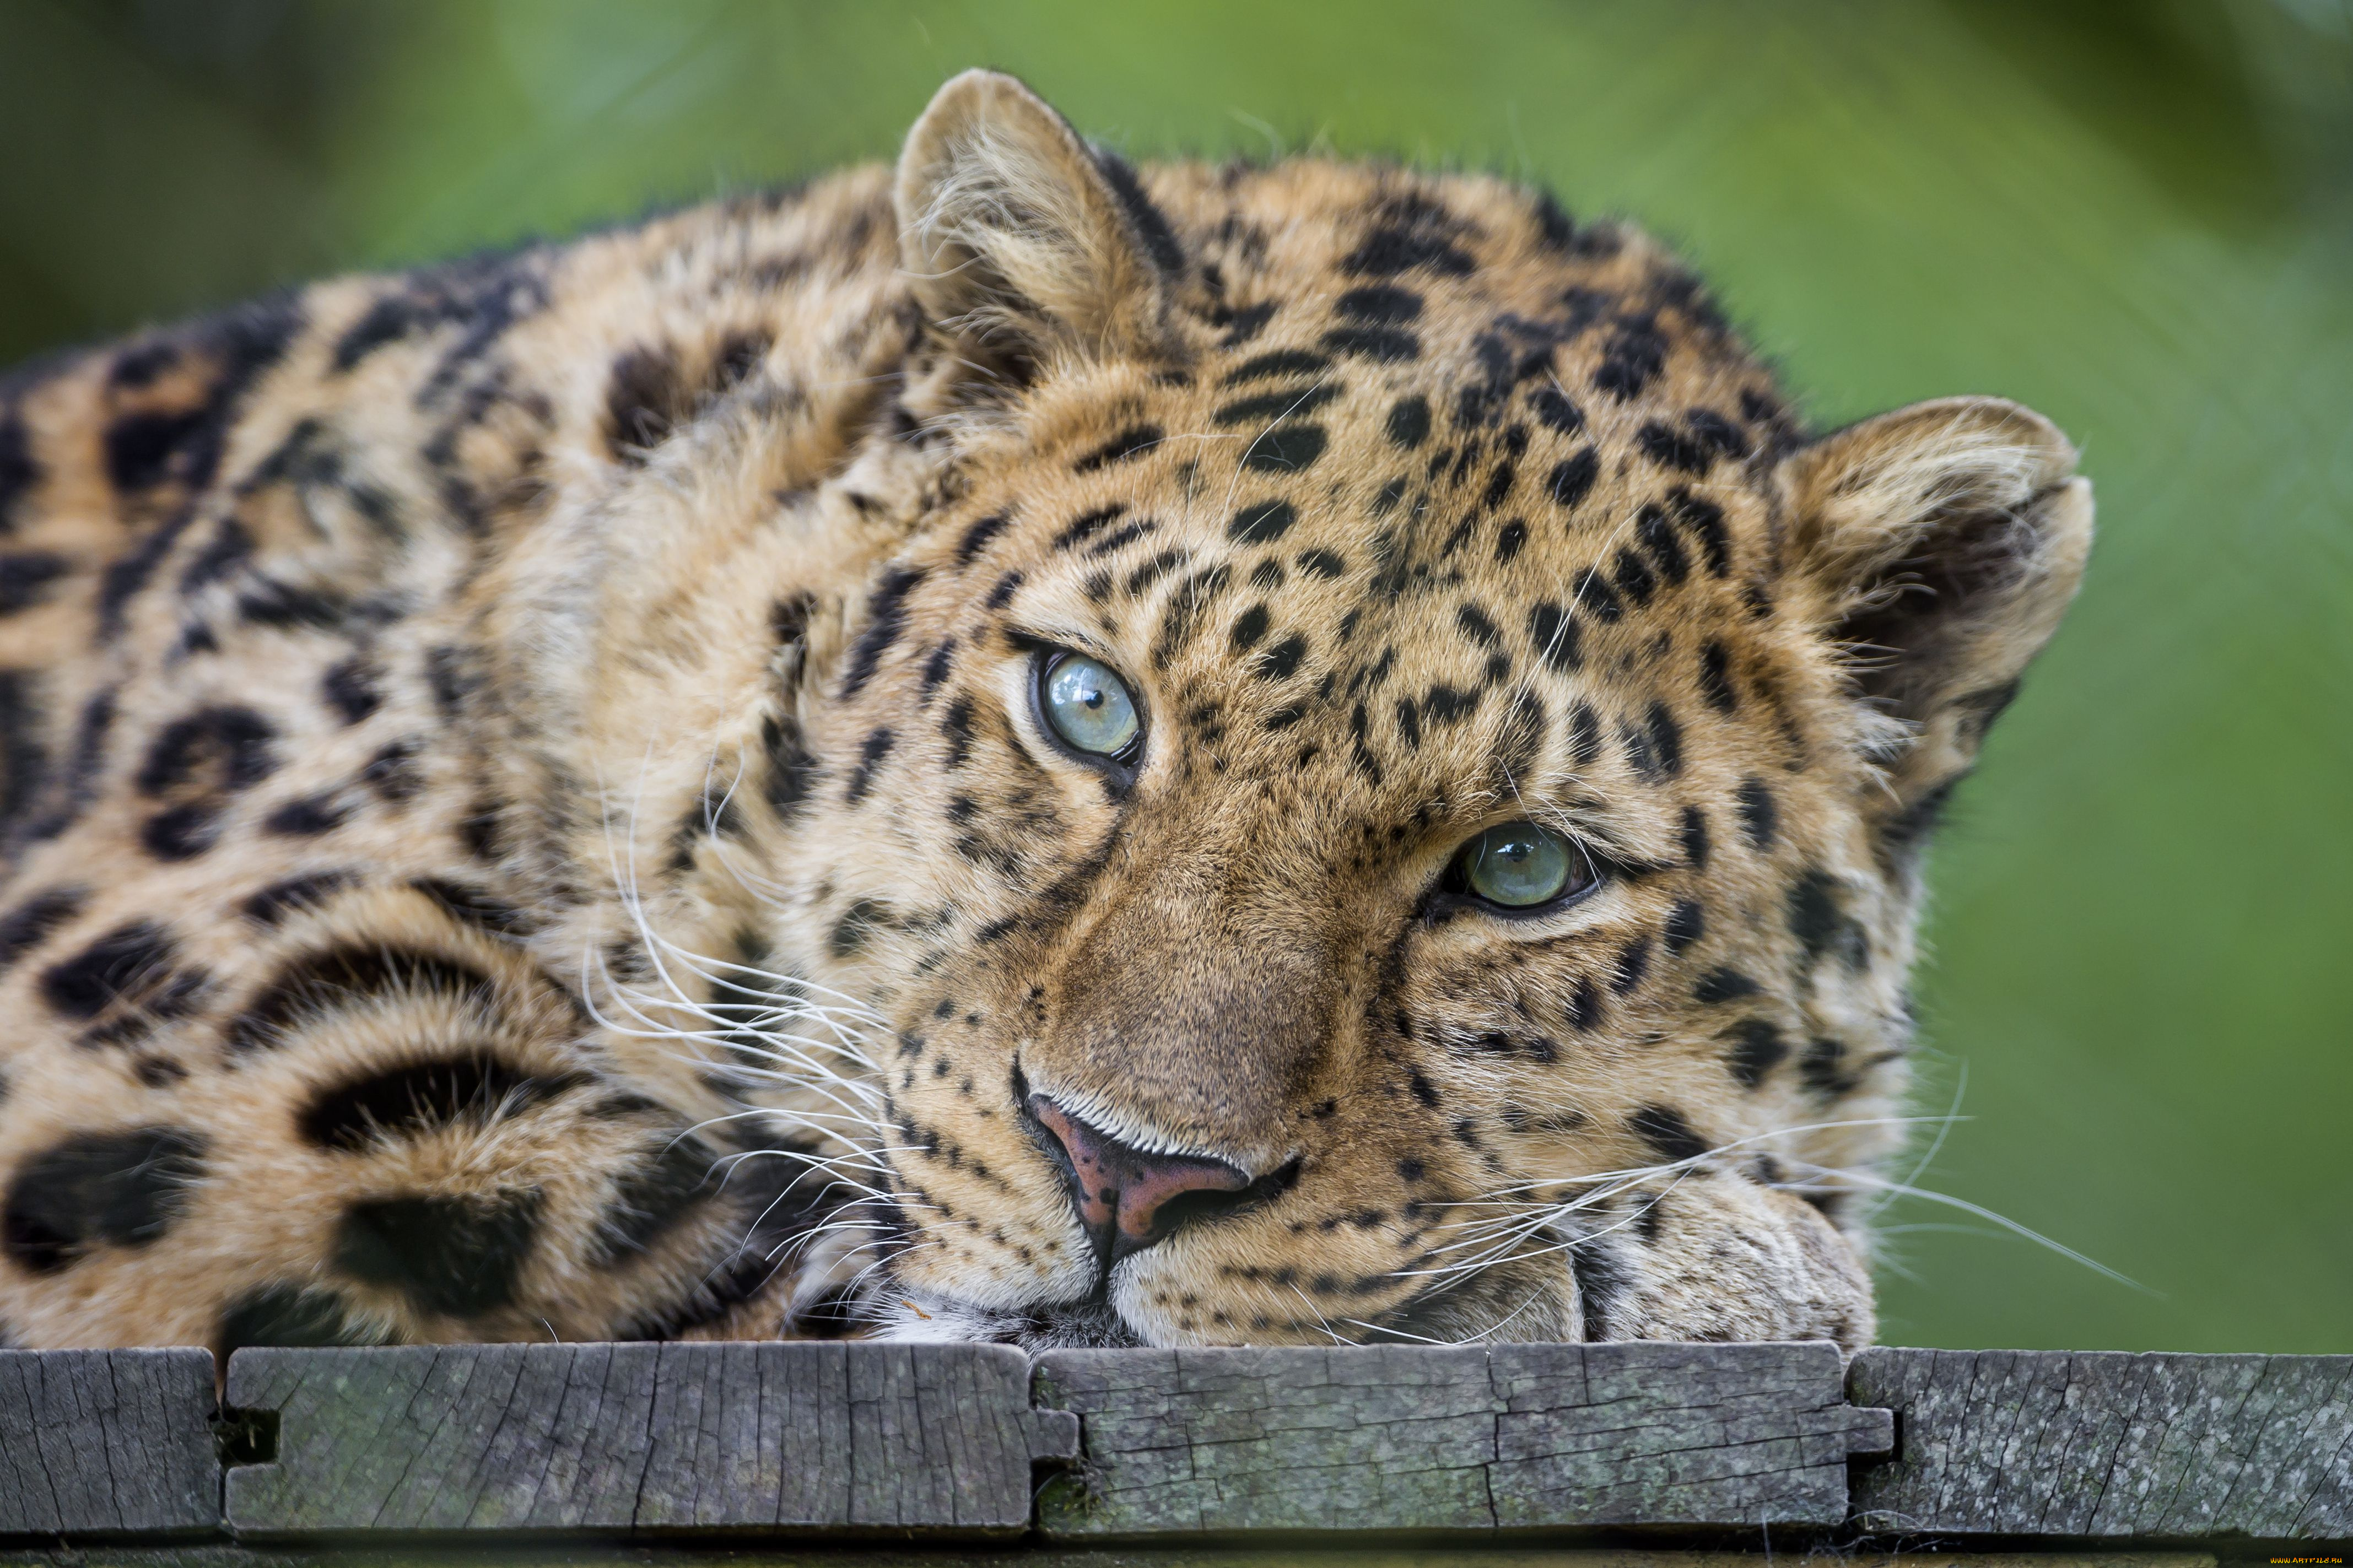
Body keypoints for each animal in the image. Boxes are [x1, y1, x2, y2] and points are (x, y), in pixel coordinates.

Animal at [0, 67, 2089, 1354]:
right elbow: (662, 1222)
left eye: (1520, 872)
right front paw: (1666, 1270)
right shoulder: (179, 1071)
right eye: (1088, 707)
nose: (1128, 1170)